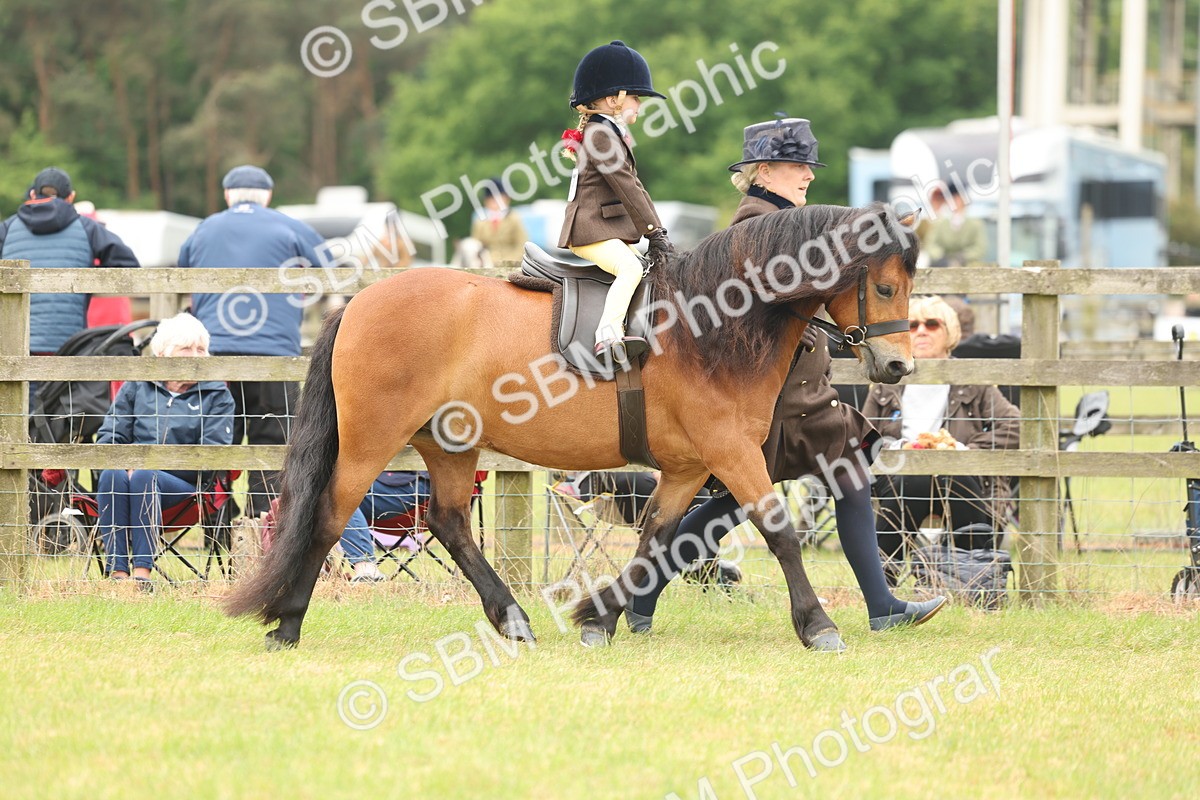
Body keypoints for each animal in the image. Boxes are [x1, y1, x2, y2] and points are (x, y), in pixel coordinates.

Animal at [225, 202, 919, 651]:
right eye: (885, 287)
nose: (897, 366)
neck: (713, 324)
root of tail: (361, 301)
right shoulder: (732, 453)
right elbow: (779, 533)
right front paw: (818, 626)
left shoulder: (689, 467)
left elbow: (656, 540)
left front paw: (601, 619)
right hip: (372, 442)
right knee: (329, 516)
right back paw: (287, 625)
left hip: (449, 442)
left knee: (449, 524)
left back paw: (511, 619)